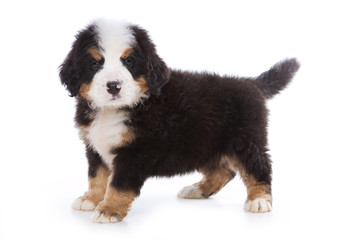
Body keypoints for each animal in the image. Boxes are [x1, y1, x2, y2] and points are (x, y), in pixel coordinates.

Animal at [59, 18, 300, 223]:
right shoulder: (94, 147)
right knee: (224, 171)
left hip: (245, 141)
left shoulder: (137, 151)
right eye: (95, 64)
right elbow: (97, 176)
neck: (113, 110)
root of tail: (251, 83)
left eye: (129, 61)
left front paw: (109, 210)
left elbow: (119, 184)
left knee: (258, 167)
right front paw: (91, 199)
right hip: (204, 143)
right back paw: (197, 190)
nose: (113, 86)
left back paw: (258, 199)